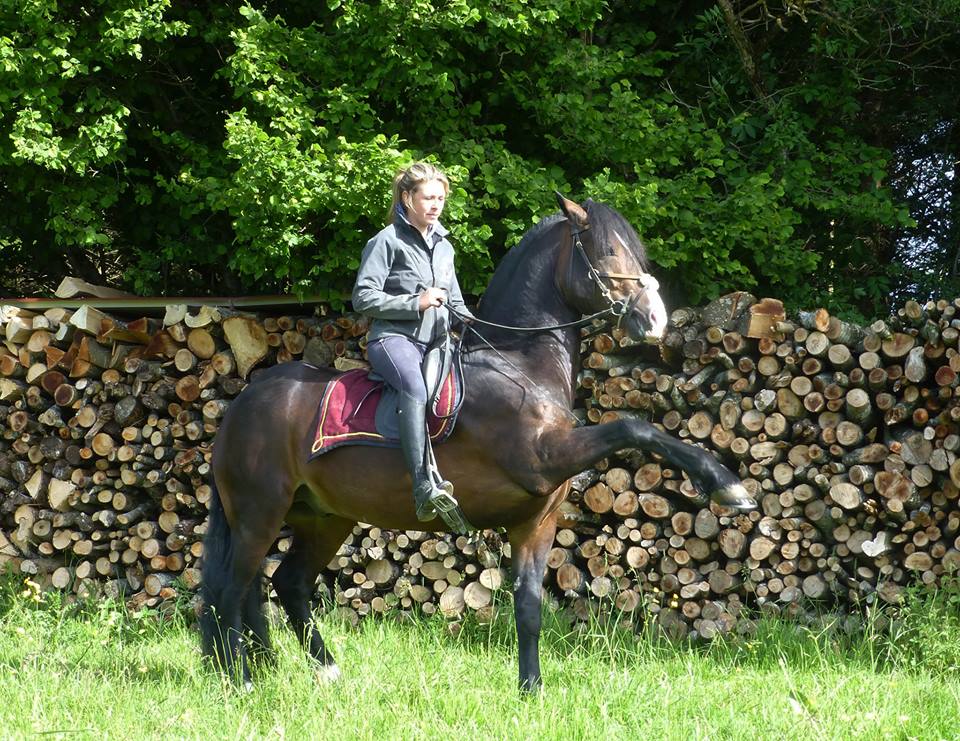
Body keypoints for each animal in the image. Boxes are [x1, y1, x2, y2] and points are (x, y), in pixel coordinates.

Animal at [202, 194, 756, 692]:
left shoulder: (536, 519)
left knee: (284, 585)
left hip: (323, 518)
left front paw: (531, 689)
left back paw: (322, 673)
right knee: (232, 591)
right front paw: (727, 485)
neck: (520, 363)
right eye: (608, 252)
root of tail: (242, 405)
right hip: (258, 513)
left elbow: (528, 605)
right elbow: (634, 428)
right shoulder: (543, 459)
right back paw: (244, 682)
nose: (656, 319)